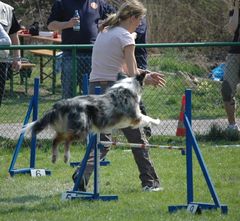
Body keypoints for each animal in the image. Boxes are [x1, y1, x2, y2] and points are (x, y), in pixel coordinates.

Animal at [22, 71, 160, 163]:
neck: (127, 87)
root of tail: (60, 105)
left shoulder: (127, 121)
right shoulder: (135, 117)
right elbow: (147, 118)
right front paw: (157, 121)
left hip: (66, 128)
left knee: (56, 139)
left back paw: (57, 157)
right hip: (81, 129)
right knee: (66, 140)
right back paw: (65, 157)